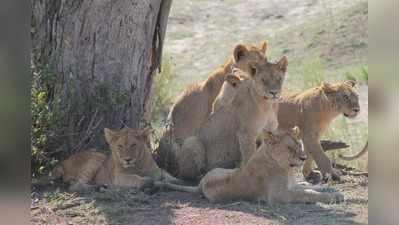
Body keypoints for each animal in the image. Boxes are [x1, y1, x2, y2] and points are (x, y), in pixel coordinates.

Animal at [47, 127, 182, 191]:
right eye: (120, 146)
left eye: (133, 145)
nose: (127, 160)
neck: (137, 164)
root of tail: (62, 163)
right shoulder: (118, 177)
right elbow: (134, 178)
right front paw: (146, 181)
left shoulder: (155, 170)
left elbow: (165, 173)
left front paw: (176, 181)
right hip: (97, 157)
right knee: (75, 186)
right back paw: (98, 188)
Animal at [155, 127, 344, 205]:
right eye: (290, 148)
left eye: (300, 145)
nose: (304, 157)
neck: (286, 168)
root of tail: (201, 184)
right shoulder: (280, 196)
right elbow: (308, 194)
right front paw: (332, 197)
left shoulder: (290, 186)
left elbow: (309, 189)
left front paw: (333, 191)